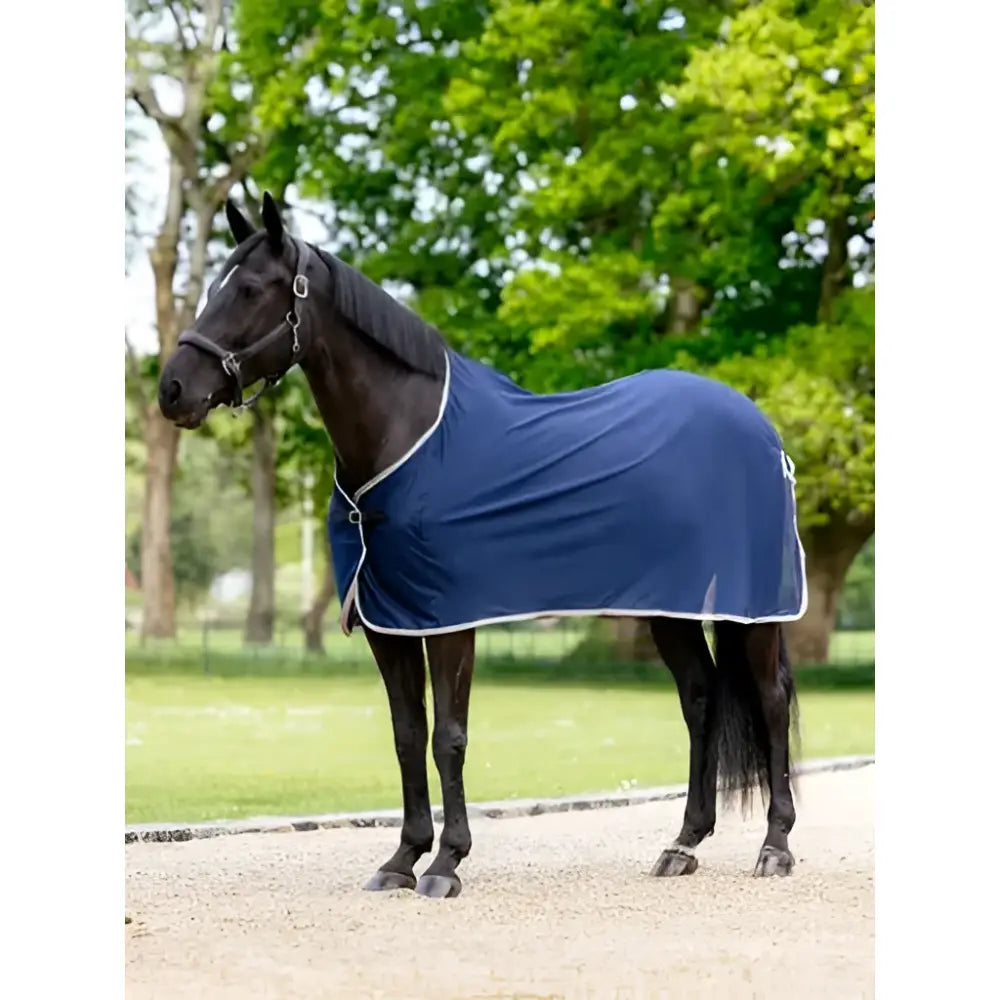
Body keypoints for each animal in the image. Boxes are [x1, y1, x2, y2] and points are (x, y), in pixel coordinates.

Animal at [158, 192, 805, 898]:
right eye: (212, 289)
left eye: (249, 290)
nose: (172, 390)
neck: (406, 436)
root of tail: (761, 429)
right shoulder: (390, 623)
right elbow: (407, 735)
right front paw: (401, 859)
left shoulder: (448, 620)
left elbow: (449, 737)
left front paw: (447, 863)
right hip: (671, 609)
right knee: (701, 698)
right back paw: (684, 843)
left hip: (752, 608)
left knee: (770, 700)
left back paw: (775, 847)